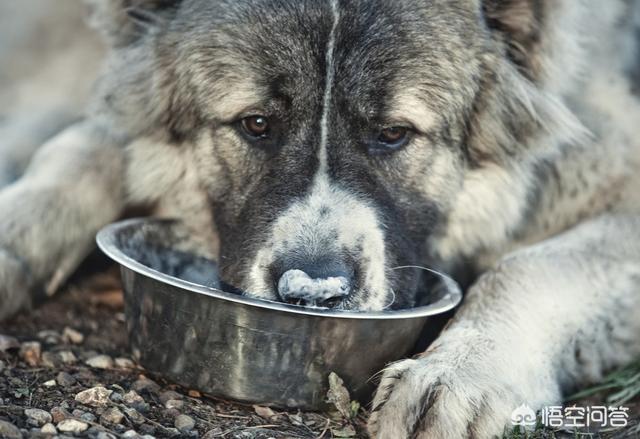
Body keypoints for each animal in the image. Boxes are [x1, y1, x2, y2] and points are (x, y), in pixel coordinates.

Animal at [1, 0, 640, 438]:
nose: (313, 294)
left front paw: (461, 376)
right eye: (256, 124)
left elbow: (529, 268)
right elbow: (81, 149)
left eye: (393, 134)